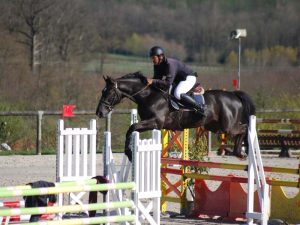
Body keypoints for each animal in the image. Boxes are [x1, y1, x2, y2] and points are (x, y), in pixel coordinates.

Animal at [96, 71, 255, 161]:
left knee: (245, 128)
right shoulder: (149, 123)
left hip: (227, 126)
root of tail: (234, 95)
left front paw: (129, 152)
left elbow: (132, 127)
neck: (148, 95)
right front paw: (129, 152)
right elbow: (132, 129)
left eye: (109, 93)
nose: (100, 112)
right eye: (102, 91)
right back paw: (237, 152)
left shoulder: (155, 122)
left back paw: (240, 152)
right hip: (215, 126)